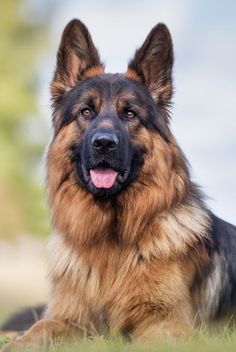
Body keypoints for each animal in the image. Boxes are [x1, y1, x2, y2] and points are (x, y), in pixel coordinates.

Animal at [2, 17, 236, 350]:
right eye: (86, 111)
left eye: (130, 113)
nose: (104, 143)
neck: (110, 242)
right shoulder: (67, 317)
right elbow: (37, 329)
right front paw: (17, 342)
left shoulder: (167, 326)